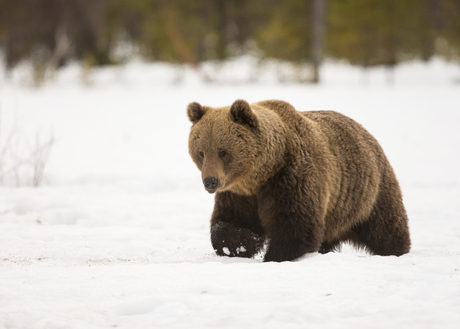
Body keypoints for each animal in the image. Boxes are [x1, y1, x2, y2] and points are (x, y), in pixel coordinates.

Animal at [187, 98, 414, 260]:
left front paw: (274, 255)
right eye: (201, 152)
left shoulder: (292, 179)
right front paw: (245, 243)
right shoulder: (238, 195)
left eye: (223, 152)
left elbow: (297, 227)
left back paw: (396, 251)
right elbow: (229, 223)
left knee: (385, 228)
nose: (210, 181)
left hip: (367, 192)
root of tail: (367, 134)